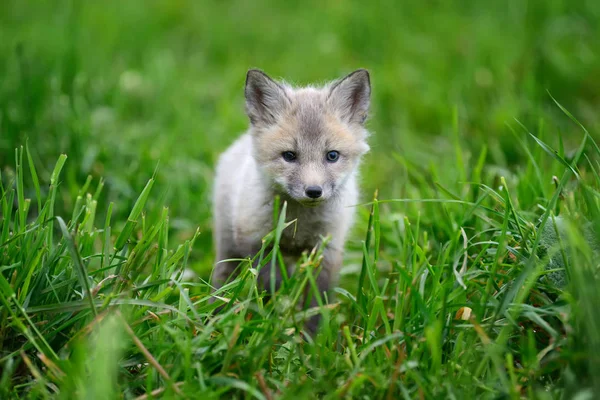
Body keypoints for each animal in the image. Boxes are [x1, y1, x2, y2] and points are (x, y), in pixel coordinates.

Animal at [211, 69, 370, 330]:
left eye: (332, 156)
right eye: (289, 156)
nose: (314, 191)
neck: (299, 224)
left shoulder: (326, 249)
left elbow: (317, 304)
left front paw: (311, 337)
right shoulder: (256, 241)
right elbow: (269, 285)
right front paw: (273, 316)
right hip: (228, 246)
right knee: (223, 279)